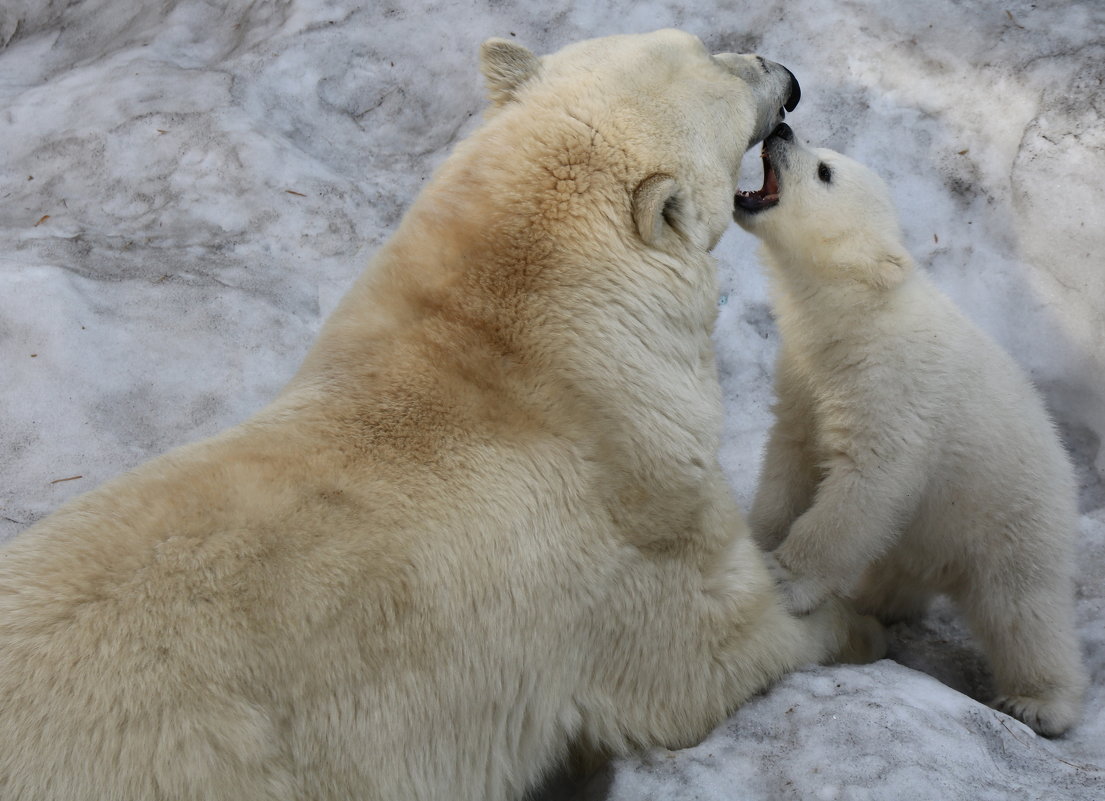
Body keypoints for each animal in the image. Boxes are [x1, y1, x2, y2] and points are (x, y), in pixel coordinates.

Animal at [0, 28, 879, 795]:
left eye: (699, 42)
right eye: (722, 69)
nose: (786, 76)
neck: (526, 346)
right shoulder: (629, 542)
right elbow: (713, 658)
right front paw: (843, 620)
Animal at [729, 123, 1082, 729]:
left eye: (824, 170)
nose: (781, 128)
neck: (859, 313)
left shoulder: (892, 389)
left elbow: (865, 484)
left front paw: (785, 578)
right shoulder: (805, 376)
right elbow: (790, 459)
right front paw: (758, 540)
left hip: (1015, 520)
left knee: (1022, 610)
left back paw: (1038, 702)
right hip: (926, 536)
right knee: (900, 571)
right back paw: (872, 602)